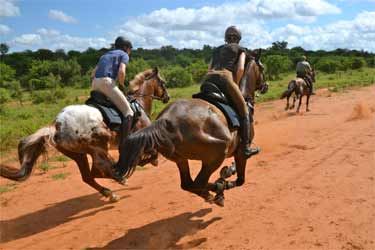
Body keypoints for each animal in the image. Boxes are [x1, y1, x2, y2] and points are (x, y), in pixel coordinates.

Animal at [0, 67, 170, 202]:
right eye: (163, 82)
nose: (167, 98)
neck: (139, 102)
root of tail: (56, 126)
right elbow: (154, 155)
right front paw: (144, 161)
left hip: (79, 154)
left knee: (89, 176)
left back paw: (110, 191)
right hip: (99, 147)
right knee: (101, 169)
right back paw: (120, 180)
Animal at [114, 51, 268, 206]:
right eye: (262, 68)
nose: (266, 86)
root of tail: (166, 120)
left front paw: (227, 172)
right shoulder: (240, 153)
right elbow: (240, 179)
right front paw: (226, 176)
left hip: (180, 158)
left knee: (188, 184)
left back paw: (211, 192)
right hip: (216, 154)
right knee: (198, 183)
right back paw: (219, 188)